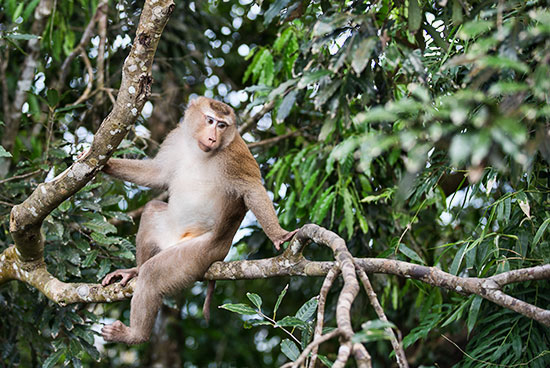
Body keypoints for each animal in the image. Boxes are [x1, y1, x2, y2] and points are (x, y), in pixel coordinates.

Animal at [99, 96, 298, 344]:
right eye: (210, 120)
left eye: (222, 125)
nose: (212, 137)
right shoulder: (176, 137)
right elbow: (156, 173)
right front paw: (106, 164)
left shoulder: (234, 155)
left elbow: (252, 190)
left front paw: (279, 235)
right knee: (151, 210)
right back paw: (134, 271)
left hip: (197, 254)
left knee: (153, 274)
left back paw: (135, 335)